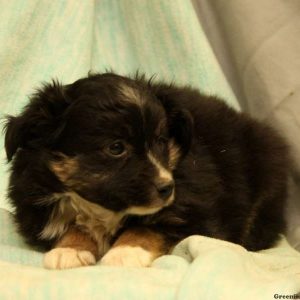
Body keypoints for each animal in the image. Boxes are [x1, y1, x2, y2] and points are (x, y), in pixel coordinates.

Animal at [3, 73, 290, 270]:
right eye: (116, 147)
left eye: (161, 141)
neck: (106, 212)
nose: (167, 188)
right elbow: (73, 224)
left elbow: (149, 228)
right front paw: (70, 250)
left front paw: (124, 252)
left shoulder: (196, 211)